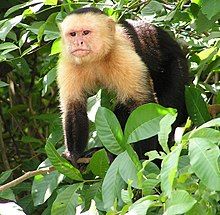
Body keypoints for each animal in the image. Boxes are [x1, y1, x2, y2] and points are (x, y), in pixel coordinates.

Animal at [57, 6, 189, 165]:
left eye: (86, 33)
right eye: (73, 34)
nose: (78, 43)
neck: (96, 59)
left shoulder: (123, 56)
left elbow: (142, 106)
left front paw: (145, 160)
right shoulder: (69, 63)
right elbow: (73, 107)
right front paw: (73, 154)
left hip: (177, 66)